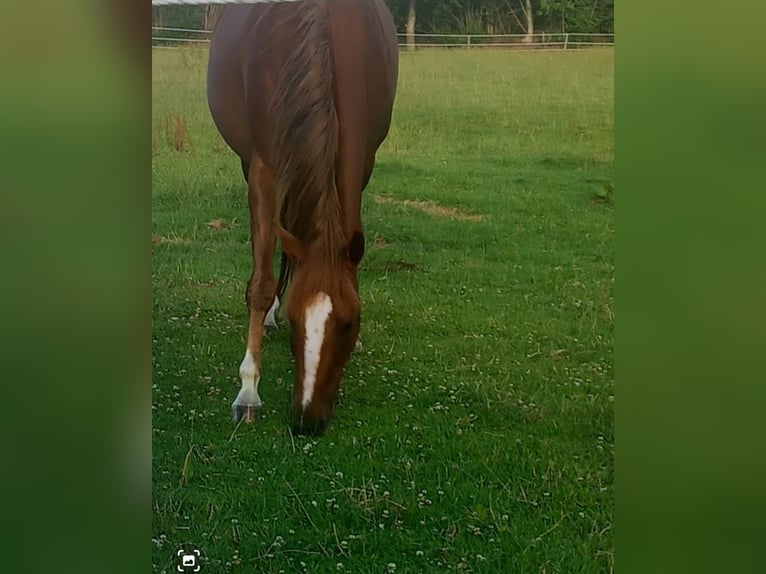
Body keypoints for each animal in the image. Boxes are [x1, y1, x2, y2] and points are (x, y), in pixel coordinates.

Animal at [207, 0, 399, 435]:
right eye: (297, 320)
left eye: (349, 323)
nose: (308, 420)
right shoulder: (264, 168)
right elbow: (260, 283)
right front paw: (248, 392)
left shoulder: (364, 161)